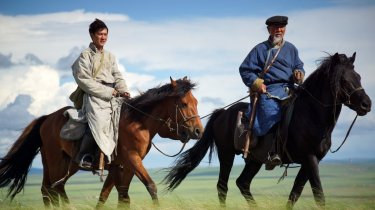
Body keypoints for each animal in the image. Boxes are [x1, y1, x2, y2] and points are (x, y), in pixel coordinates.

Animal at [0, 77, 204, 208]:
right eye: (184, 104)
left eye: (196, 102)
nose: (198, 131)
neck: (138, 122)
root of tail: (46, 118)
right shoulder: (132, 159)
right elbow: (150, 186)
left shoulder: (121, 166)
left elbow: (114, 196)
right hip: (57, 161)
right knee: (54, 188)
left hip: (63, 164)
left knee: (49, 189)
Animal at [164, 53, 374, 208]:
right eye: (344, 80)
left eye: (359, 77)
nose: (367, 104)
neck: (312, 114)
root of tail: (222, 113)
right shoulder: (310, 158)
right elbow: (319, 195)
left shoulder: (311, 161)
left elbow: (295, 193)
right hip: (227, 154)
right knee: (222, 187)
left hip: (254, 160)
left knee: (243, 183)